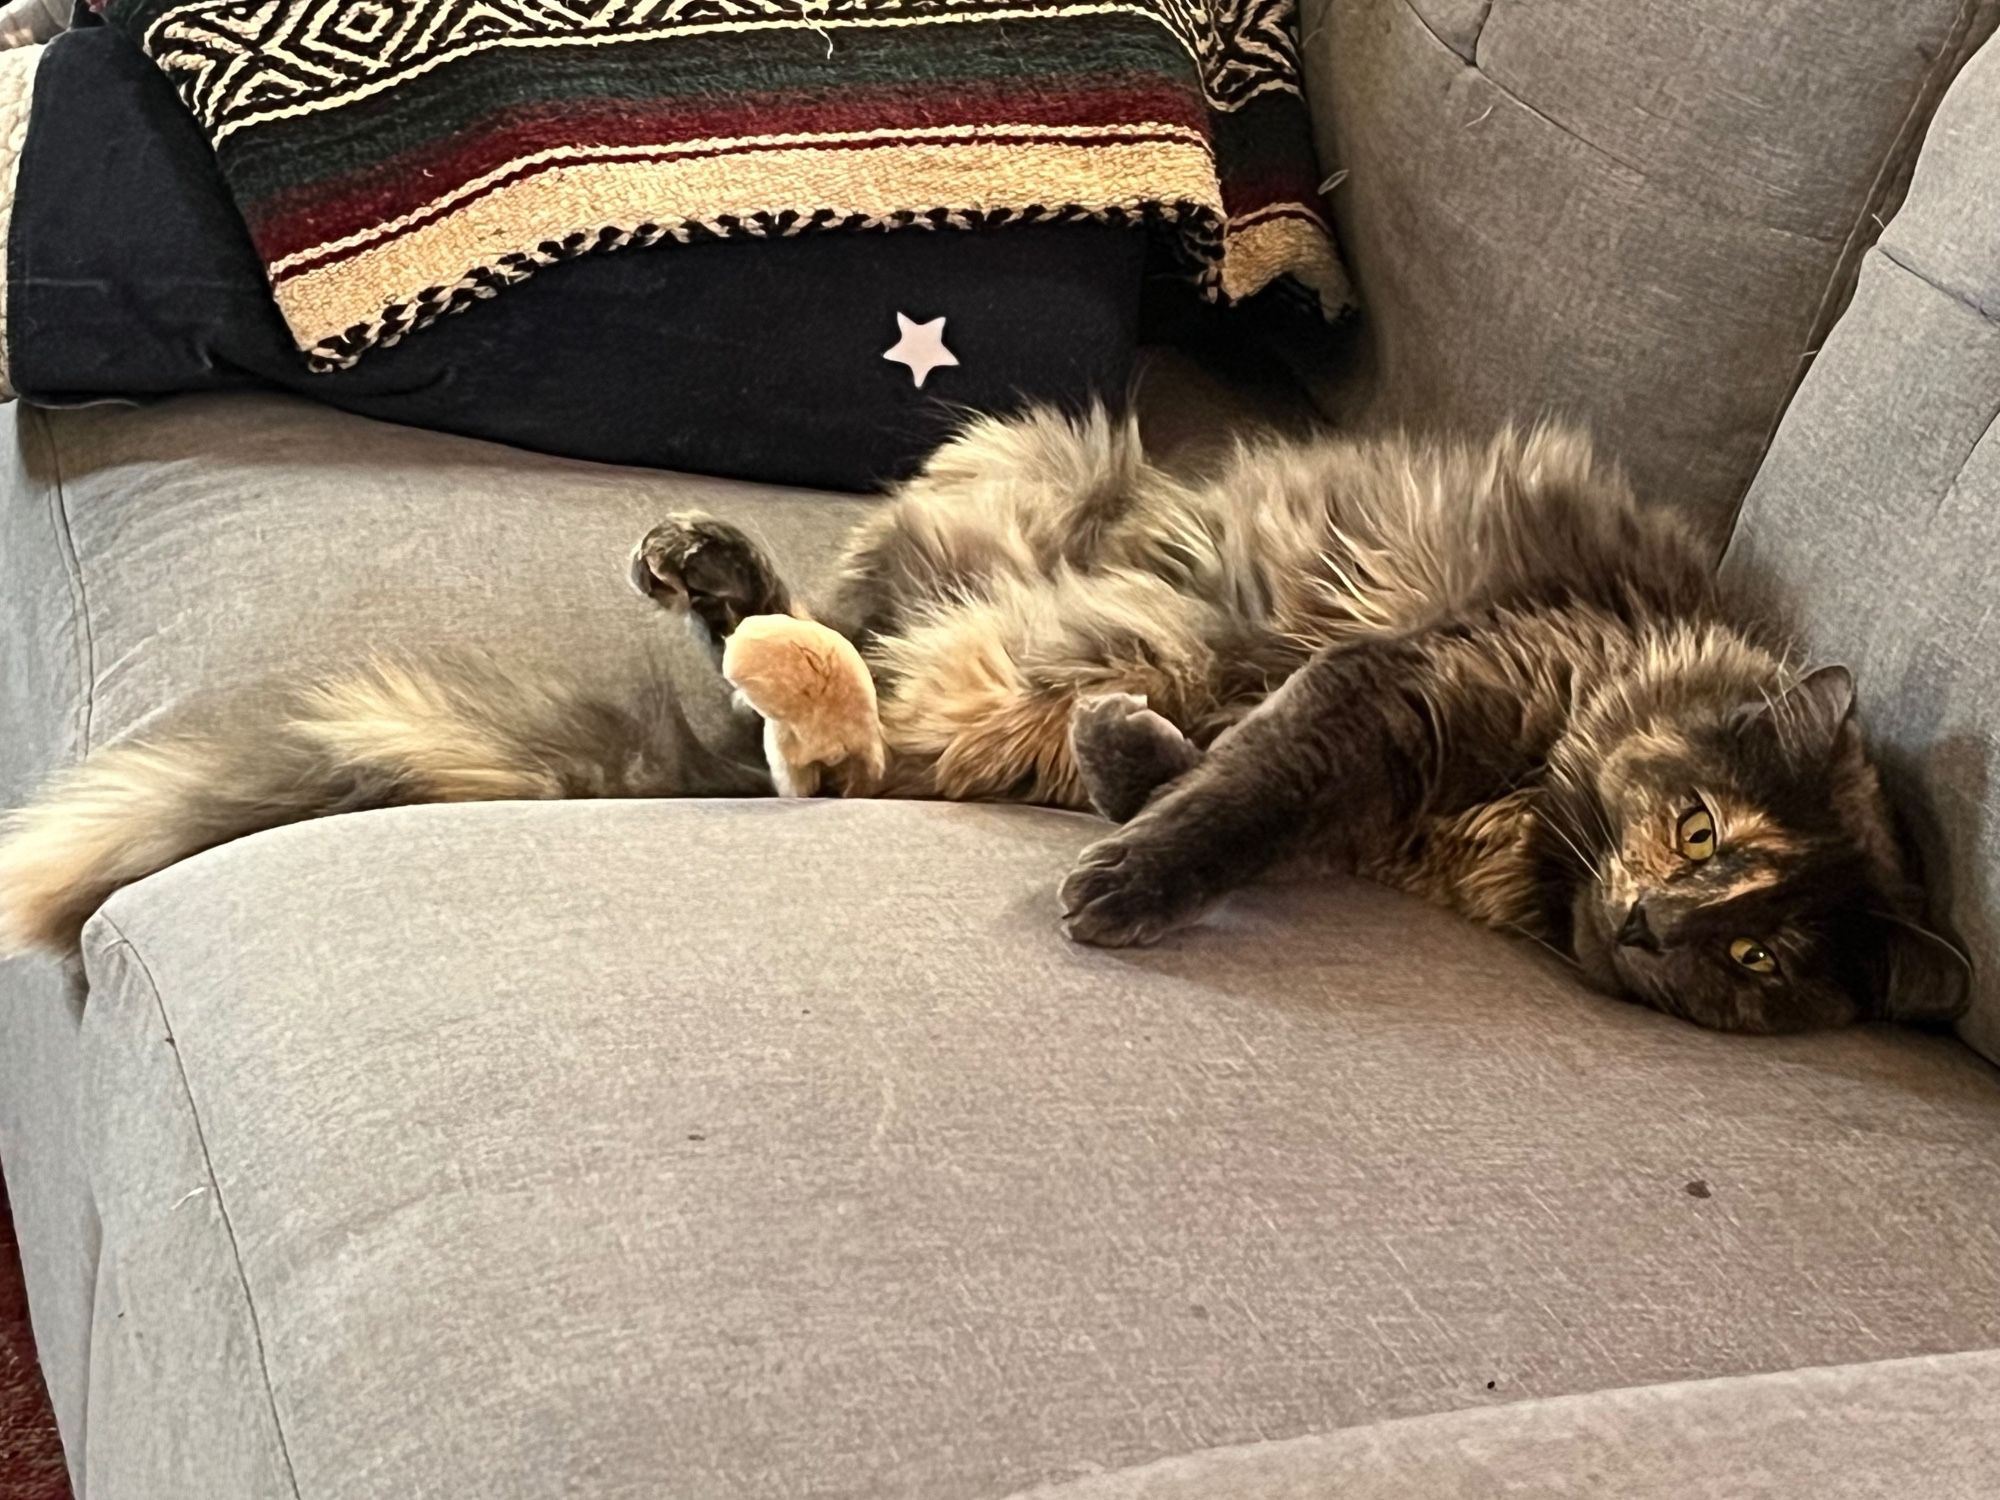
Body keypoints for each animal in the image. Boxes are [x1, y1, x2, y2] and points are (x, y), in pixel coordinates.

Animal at [0, 412, 1968, 1040]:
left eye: (1764, 961)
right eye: (1705, 835)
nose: (1655, 927)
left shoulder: (1348, 755)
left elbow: (1216, 777)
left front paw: (1128, 809)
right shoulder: (1399, 685)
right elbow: (1249, 786)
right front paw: (1130, 878)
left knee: (839, 750)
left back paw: (790, 661)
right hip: (1018, 467)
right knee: (835, 672)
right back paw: (725, 581)